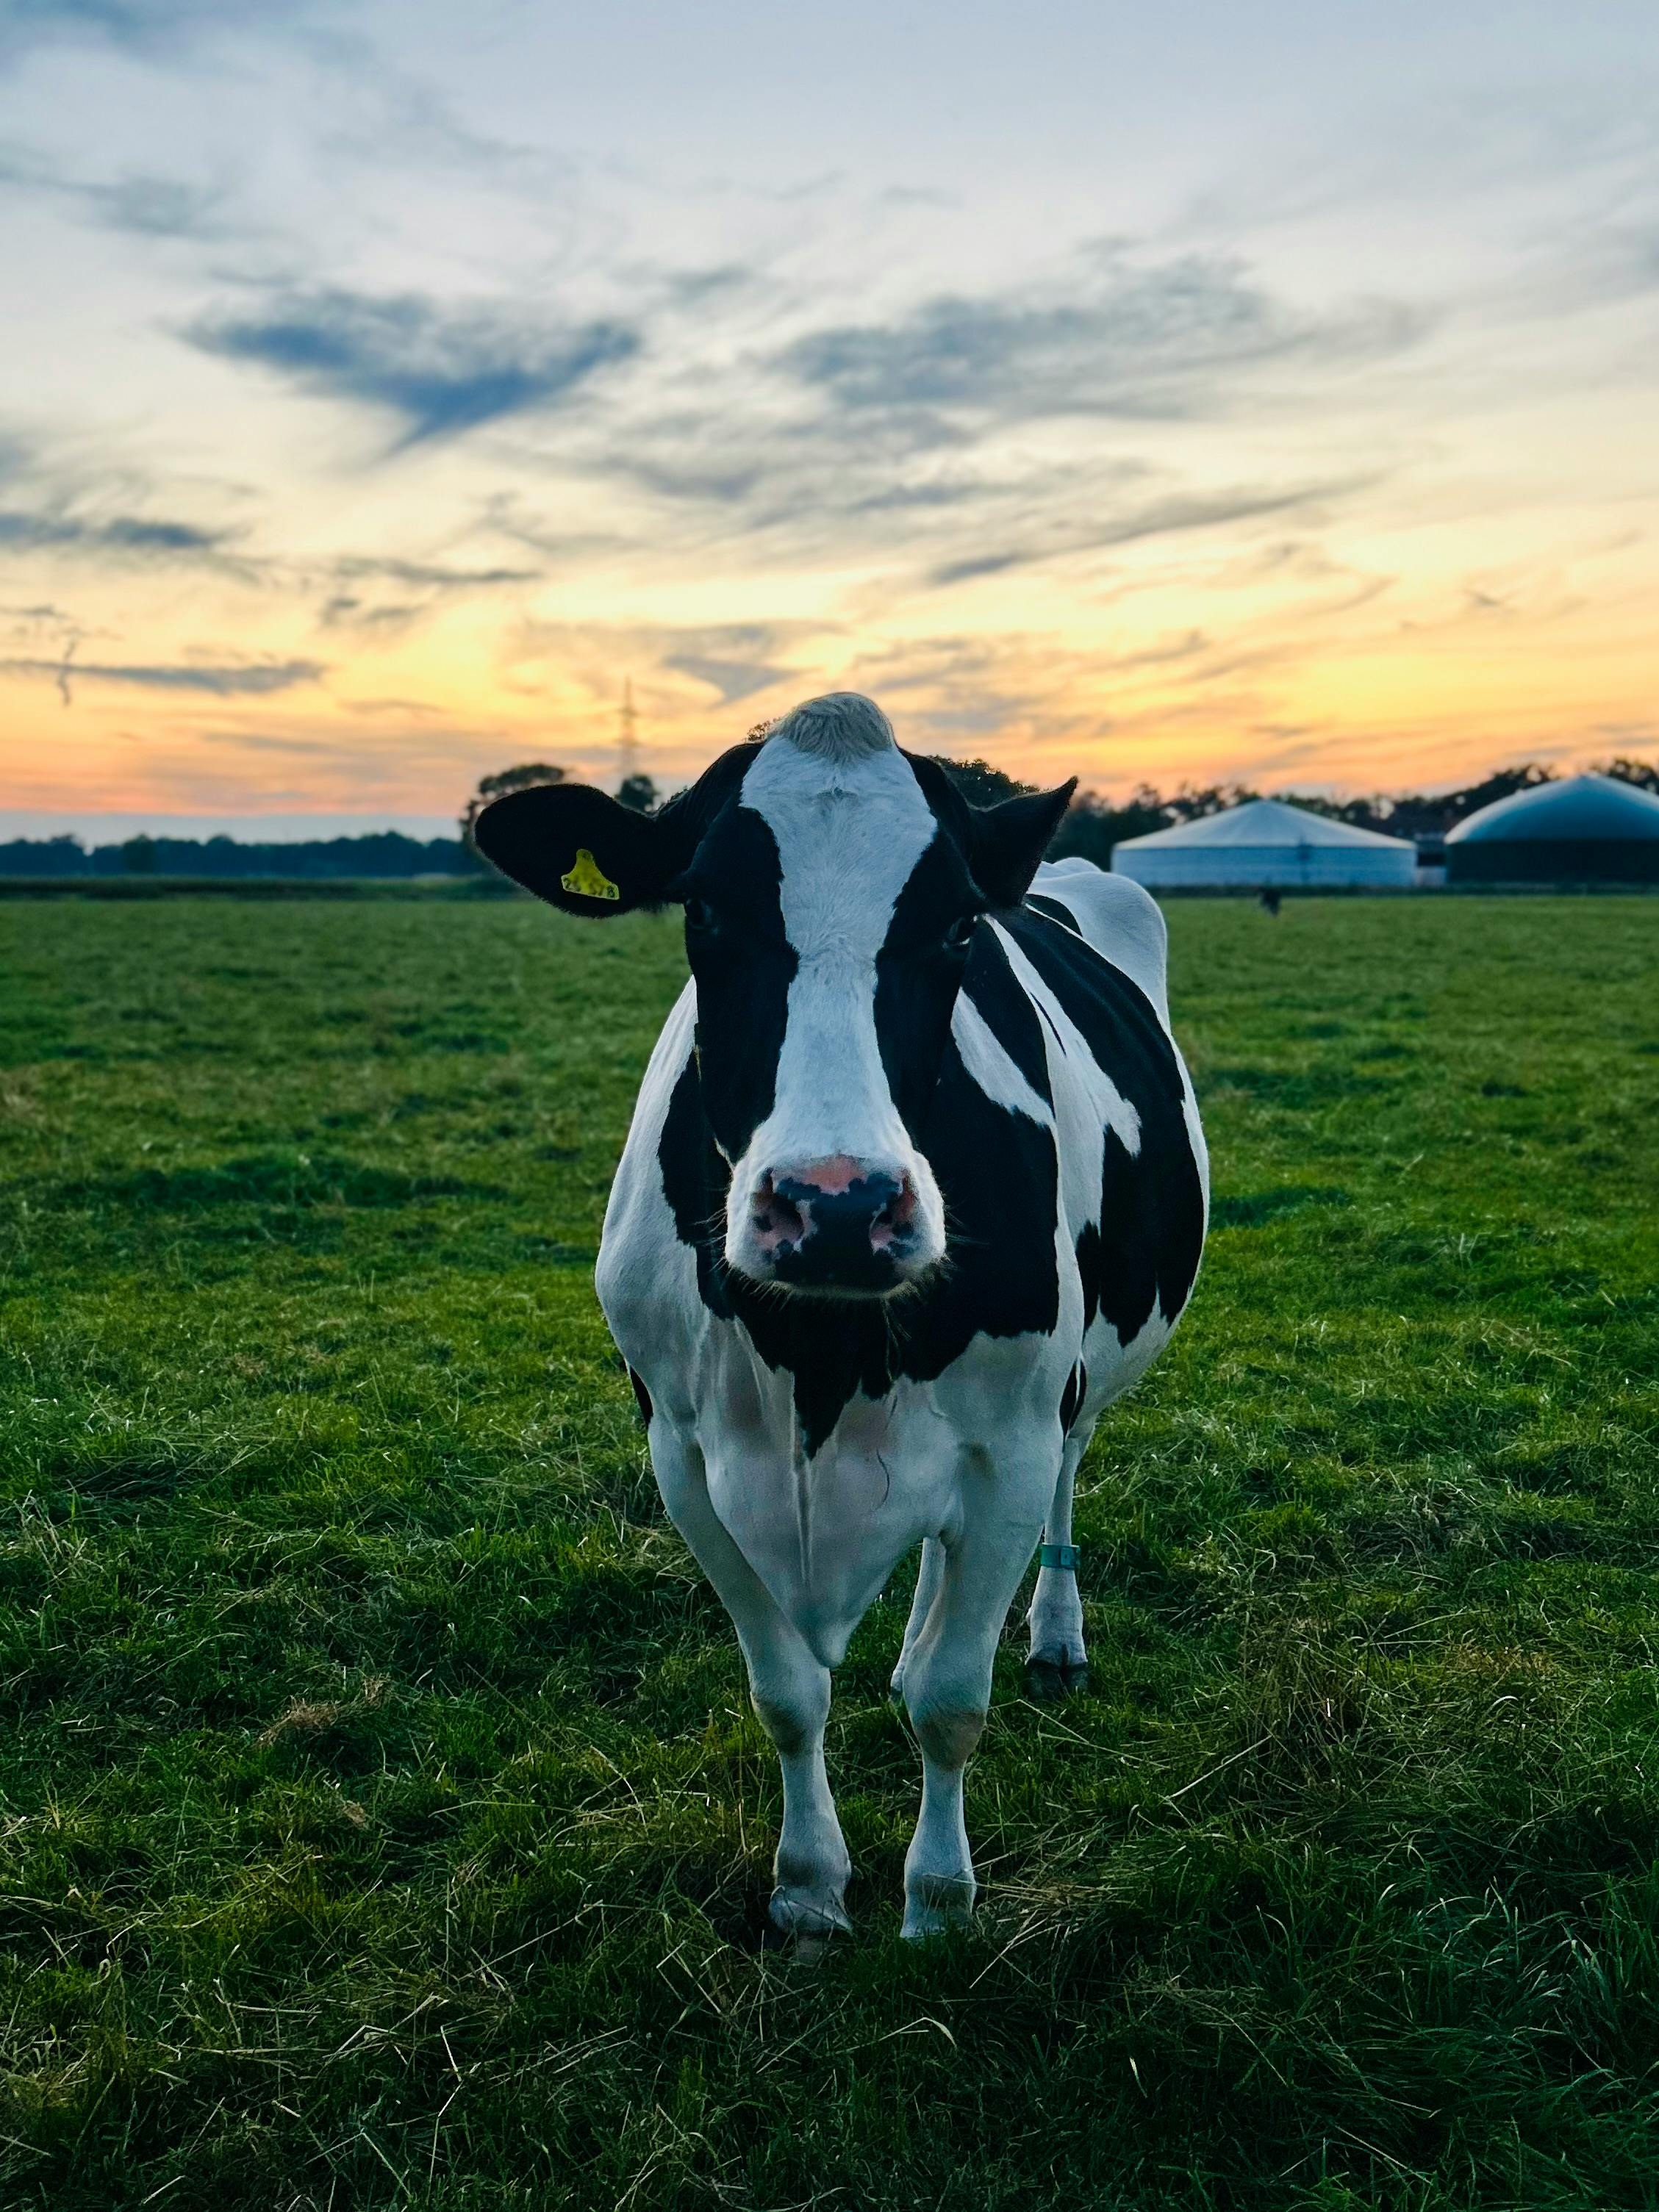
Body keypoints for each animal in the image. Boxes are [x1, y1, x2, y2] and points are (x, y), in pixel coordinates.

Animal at [478, 686, 1212, 1937]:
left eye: (958, 926)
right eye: (704, 908)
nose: (836, 1206)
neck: (816, 1355)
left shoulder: (1010, 1442)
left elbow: (952, 1702)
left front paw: (939, 1900)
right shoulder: (683, 1451)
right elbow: (786, 1694)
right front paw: (810, 1888)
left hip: (1075, 1382)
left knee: (1068, 1473)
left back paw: (1055, 1633)